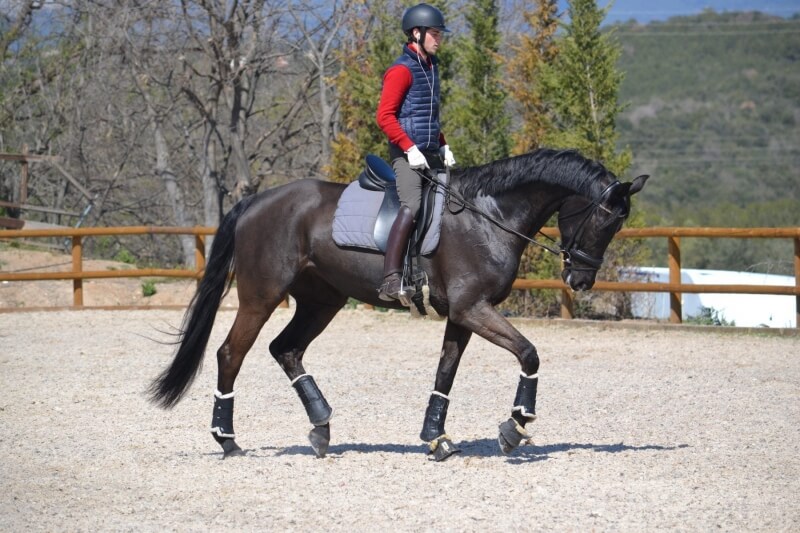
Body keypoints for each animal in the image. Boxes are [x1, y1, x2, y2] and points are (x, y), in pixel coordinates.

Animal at [148, 148, 648, 461]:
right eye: (604, 220)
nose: (580, 279)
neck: (490, 215)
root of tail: (257, 201)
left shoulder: (464, 314)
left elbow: (445, 374)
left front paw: (436, 439)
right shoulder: (473, 309)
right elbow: (529, 353)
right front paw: (514, 427)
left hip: (322, 301)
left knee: (285, 350)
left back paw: (321, 428)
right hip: (261, 296)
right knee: (231, 354)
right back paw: (227, 440)